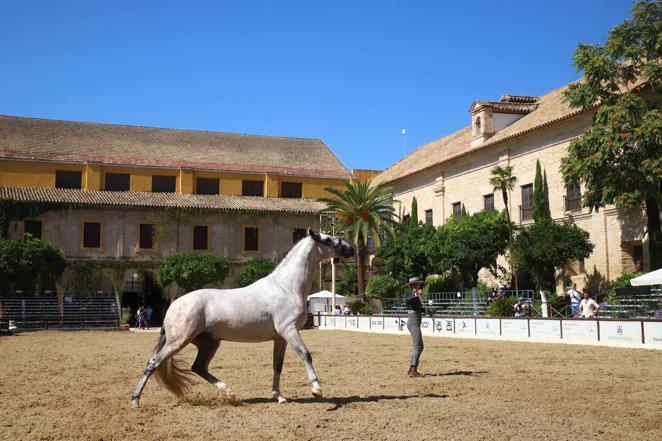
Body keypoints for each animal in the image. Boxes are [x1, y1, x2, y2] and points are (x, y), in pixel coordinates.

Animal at [132, 229, 356, 408]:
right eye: (328, 239)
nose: (351, 249)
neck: (286, 287)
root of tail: (174, 306)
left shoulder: (280, 338)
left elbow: (277, 365)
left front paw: (279, 396)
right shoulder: (289, 331)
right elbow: (306, 354)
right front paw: (316, 389)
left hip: (208, 343)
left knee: (198, 367)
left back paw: (230, 393)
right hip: (178, 341)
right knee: (153, 363)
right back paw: (135, 401)